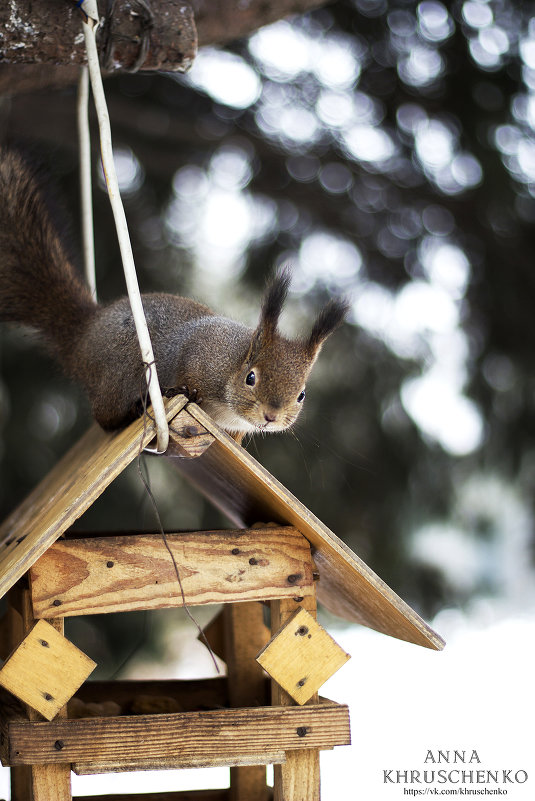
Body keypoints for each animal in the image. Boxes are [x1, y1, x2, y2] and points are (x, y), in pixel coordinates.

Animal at [0, 147, 350, 440]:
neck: (233, 363)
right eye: (251, 378)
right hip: (119, 371)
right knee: (104, 417)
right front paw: (186, 393)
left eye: (301, 394)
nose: (271, 416)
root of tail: (83, 333)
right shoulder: (200, 351)